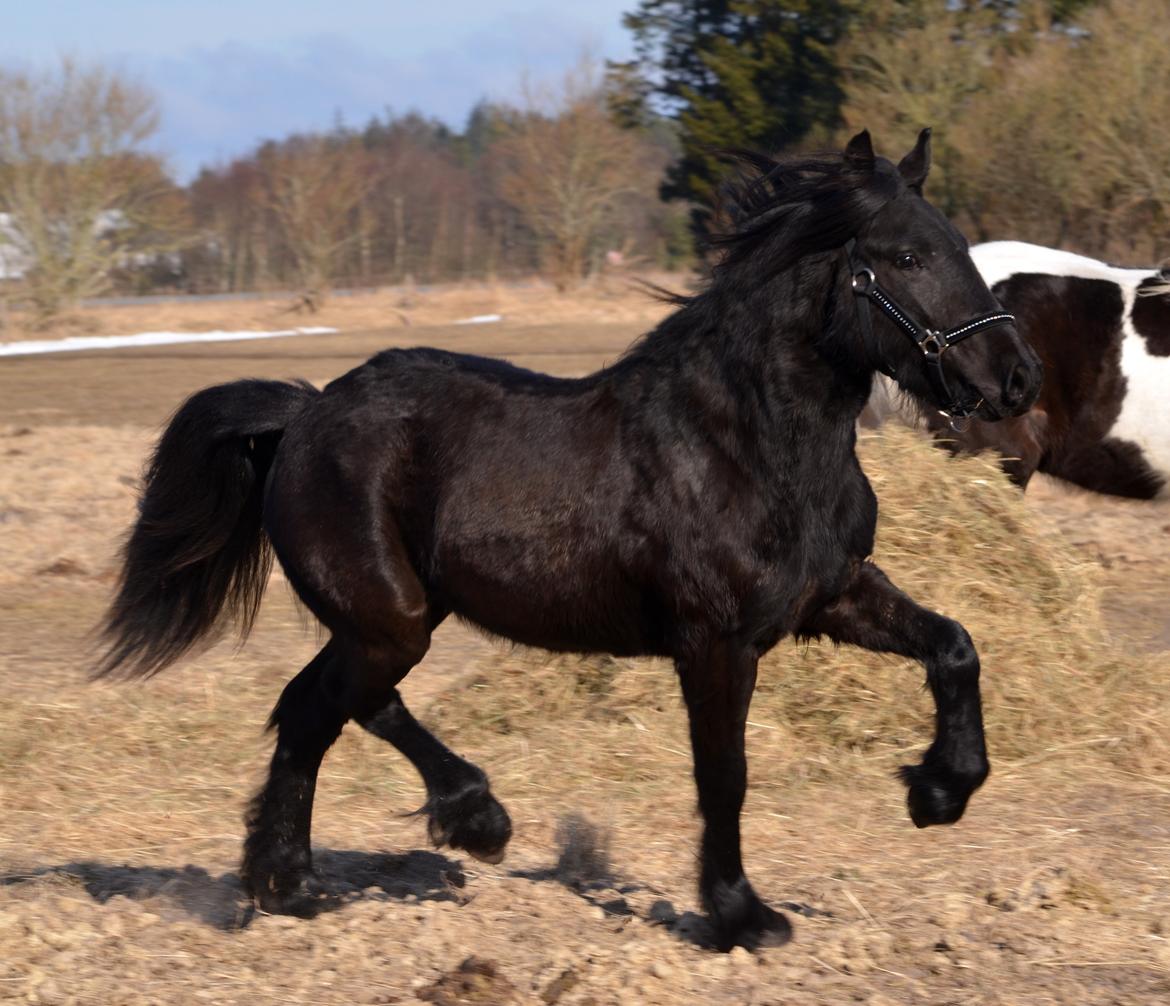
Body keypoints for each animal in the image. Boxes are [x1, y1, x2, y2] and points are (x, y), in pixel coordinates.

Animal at [98, 131, 1043, 949]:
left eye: (959, 248)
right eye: (908, 257)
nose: (1018, 379)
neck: (746, 442)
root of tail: (303, 412)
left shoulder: (833, 594)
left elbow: (954, 646)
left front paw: (939, 792)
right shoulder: (716, 642)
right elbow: (724, 775)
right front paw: (742, 917)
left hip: (396, 615)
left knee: (313, 710)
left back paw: (294, 883)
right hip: (390, 617)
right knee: (341, 702)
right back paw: (464, 822)